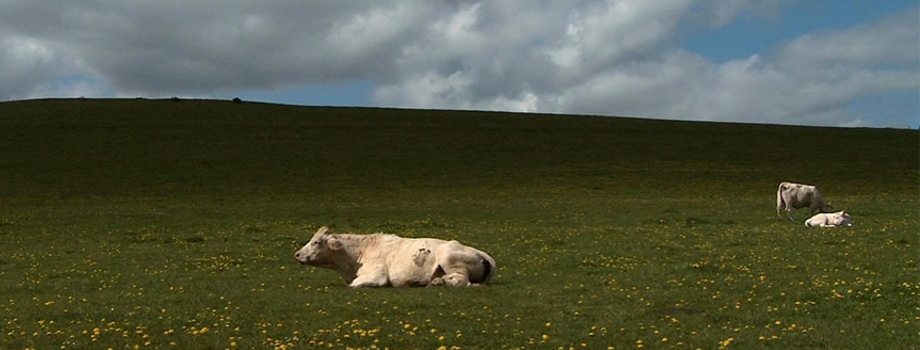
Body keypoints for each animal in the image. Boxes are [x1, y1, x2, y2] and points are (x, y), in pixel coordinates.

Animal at [294, 227, 496, 288]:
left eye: (317, 242)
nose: (297, 254)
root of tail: (484, 254)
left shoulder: (377, 275)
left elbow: (354, 285)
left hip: (449, 257)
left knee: (461, 281)